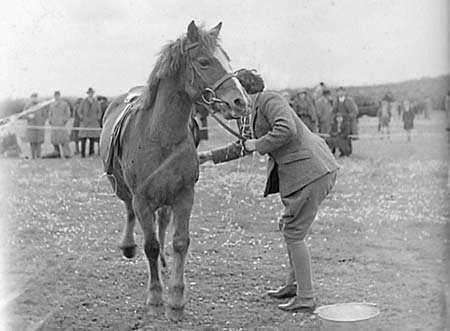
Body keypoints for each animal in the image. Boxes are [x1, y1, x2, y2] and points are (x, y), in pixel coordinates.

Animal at [99, 20, 250, 322]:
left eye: (227, 59)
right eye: (204, 61)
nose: (240, 102)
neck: (160, 136)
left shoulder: (184, 195)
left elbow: (180, 242)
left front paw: (176, 300)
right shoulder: (142, 199)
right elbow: (150, 245)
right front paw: (156, 298)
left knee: (163, 223)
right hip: (125, 190)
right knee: (130, 213)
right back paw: (128, 246)